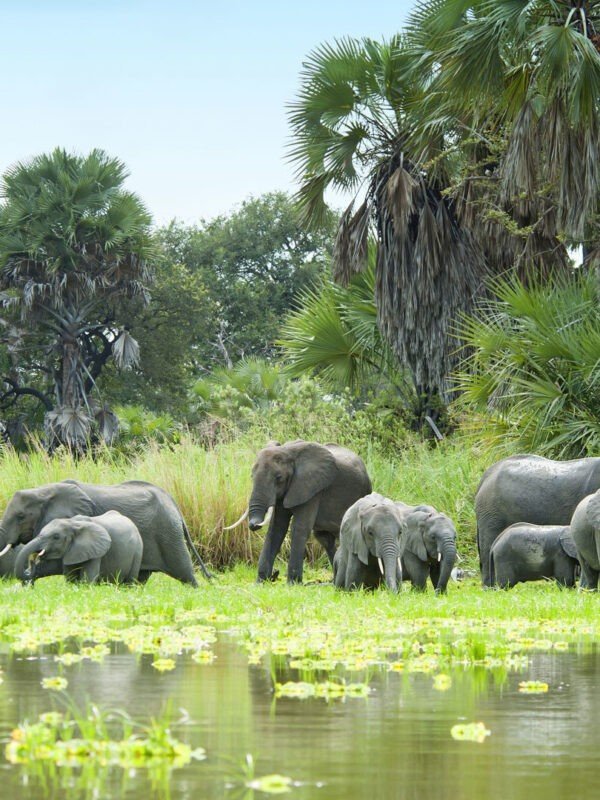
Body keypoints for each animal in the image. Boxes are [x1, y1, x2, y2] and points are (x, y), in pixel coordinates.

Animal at [225, 440, 371, 583]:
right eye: (251, 475)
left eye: (279, 478)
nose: (254, 525)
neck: (288, 451)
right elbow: (276, 529)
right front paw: (261, 582)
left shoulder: (312, 488)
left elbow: (299, 528)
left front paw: (293, 583)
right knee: (324, 538)